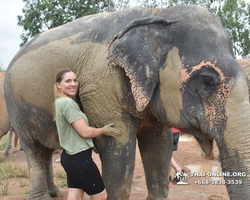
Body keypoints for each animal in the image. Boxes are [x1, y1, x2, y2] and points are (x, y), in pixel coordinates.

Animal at [3, 4, 250, 200]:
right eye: (208, 80)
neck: (155, 15)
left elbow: (159, 150)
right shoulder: (101, 88)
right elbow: (119, 158)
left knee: (44, 151)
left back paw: (54, 193)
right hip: (15, 105)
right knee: (34, 150)